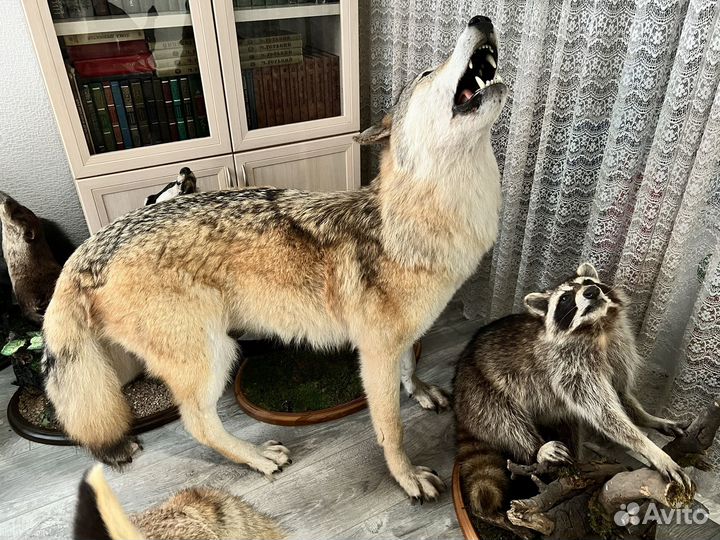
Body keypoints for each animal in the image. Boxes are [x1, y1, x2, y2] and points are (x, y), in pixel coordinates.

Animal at [43, 15, 507, 501]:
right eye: (425, 73)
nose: (481, 19)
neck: (421, 220)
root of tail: (90, 248)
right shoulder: (374, 351)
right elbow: (391, 429)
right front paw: (407, 477)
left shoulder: (402, 337)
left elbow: (410, 365)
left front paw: (419, 391)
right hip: (214, 354)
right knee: (197, 423)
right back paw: (257, 458)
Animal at [454, 263, 693, 519]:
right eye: (566, 298)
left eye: (590, 282)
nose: (591, 292)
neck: (599, 328)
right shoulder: (568, 366)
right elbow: (604, 413)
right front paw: (652, 450)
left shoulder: (618, 349)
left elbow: (621, 396)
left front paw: (651, 419)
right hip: (479, 390)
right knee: (505, 420)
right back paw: (536, 446)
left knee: (570, 427)